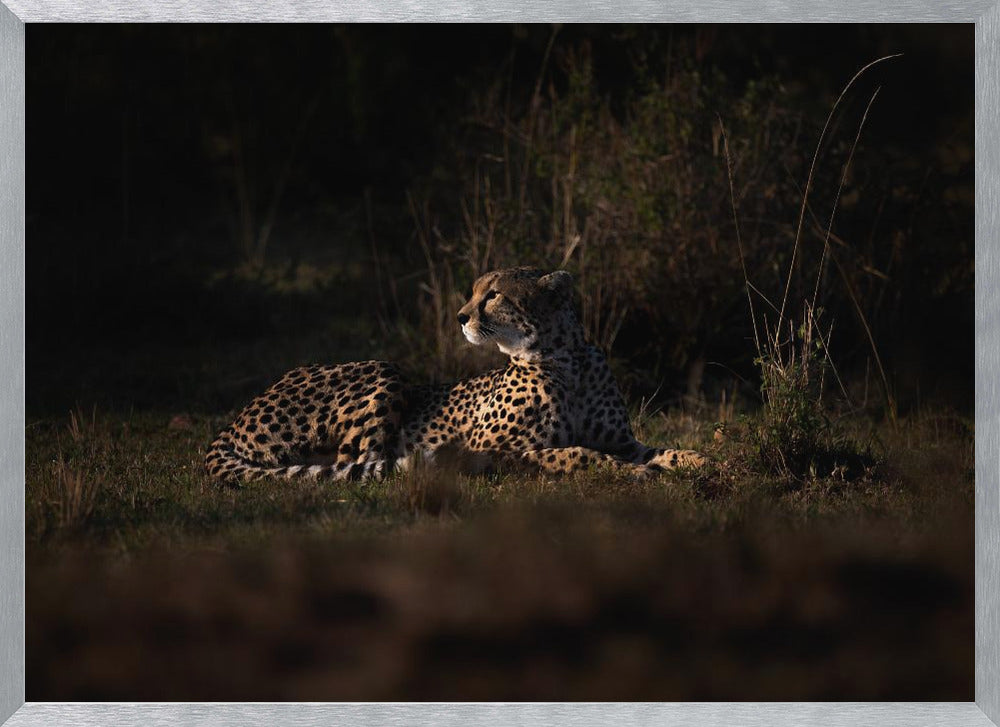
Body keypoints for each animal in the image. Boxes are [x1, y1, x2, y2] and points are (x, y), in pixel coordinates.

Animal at [205, 267, 706, 484]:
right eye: (474, 291)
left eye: (494, 294)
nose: (461, 316)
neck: (567, 360)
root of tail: (233, 421)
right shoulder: (493, 448)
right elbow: (576, 452)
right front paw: (632, 473)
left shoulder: (622, 438)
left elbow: (661, 449)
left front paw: (701, 461)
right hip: (383, 368)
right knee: (358, 462)